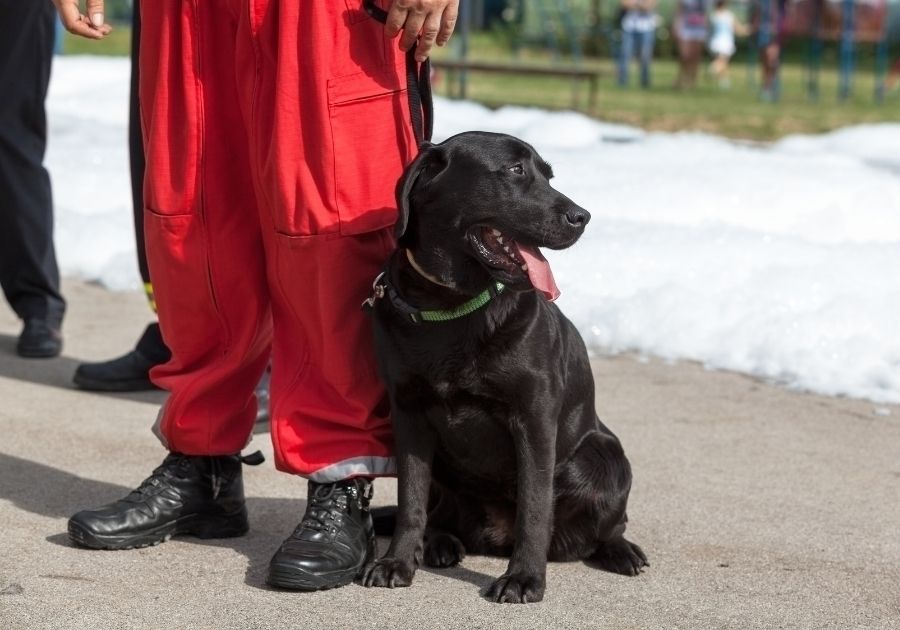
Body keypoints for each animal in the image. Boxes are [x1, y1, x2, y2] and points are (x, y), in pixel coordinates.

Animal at [358, 131, 648, 604]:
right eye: (515, 170)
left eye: (548, 175)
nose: (582, 217)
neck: (452, 306)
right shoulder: (409, 415)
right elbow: (410, 498)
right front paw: (397, 561)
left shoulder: (533, 417)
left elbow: (534, 506)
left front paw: (525, 578)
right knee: (438, 510)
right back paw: (439, 543)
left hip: (605, 457)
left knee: (609, 526)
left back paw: (621, 552)